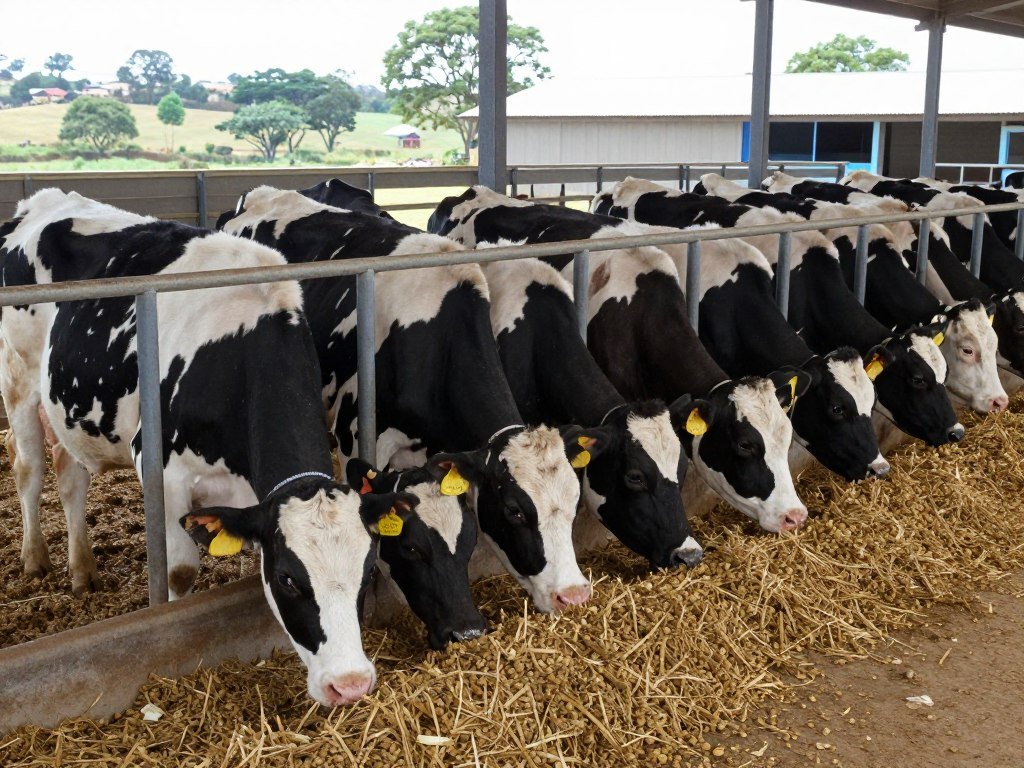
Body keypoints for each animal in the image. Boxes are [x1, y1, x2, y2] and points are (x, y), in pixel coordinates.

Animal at [0, 188, 430, 706]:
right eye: (288, 578)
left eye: (368, 573)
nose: (349, 685)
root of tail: (40, 201)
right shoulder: (163, 472)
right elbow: (180, 573)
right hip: (18, 381)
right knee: (29, 468)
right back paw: (35, 559)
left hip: (67, 410)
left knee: (70, 477)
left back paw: (82, 570)